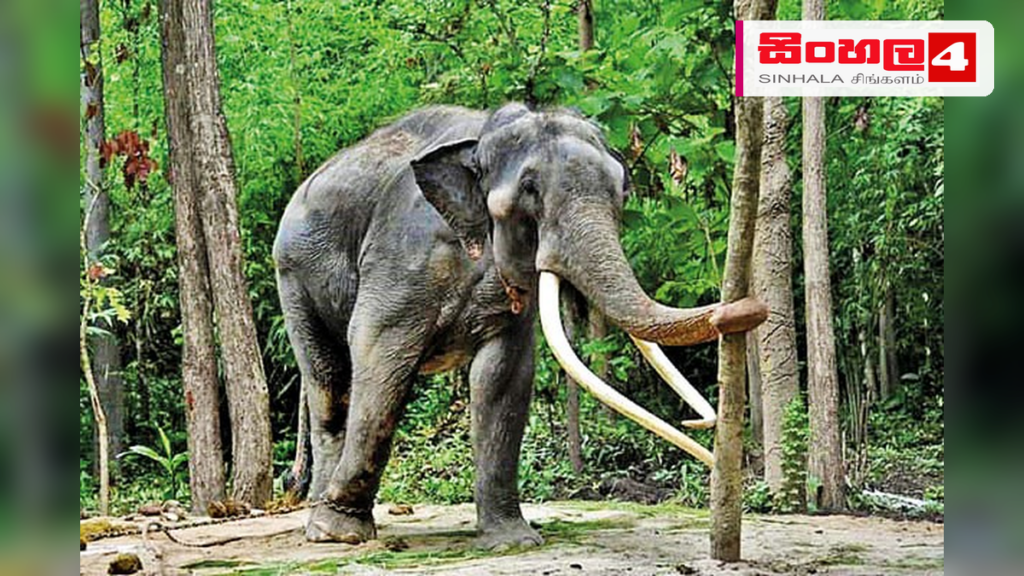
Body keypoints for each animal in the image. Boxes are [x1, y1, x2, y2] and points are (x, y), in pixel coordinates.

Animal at [273, 103, 766, 549]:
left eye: (620, 190)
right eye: (530, 189)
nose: (749, 309)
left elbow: (502, 375)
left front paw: (513, 542)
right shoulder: (403, 255)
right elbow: (378, 351)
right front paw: (344, 531)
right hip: (293, 276)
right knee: (331, 382)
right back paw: (326, 529)